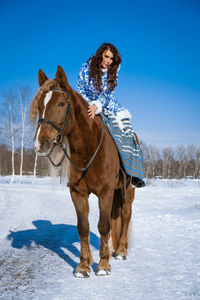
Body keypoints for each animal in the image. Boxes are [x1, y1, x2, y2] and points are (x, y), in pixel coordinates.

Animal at [30, 67, 135, 278]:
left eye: (62, 103)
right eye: (40, 105)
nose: (40, 144)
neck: (89, 149)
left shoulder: (105, 192)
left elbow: (103, 225)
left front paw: (103, 266)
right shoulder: (78, 193)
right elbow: (83, 227)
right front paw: (84, 266)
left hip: (127, 190)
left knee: (126, 214)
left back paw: (121, 251)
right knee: (115, 216)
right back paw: (112, 250)